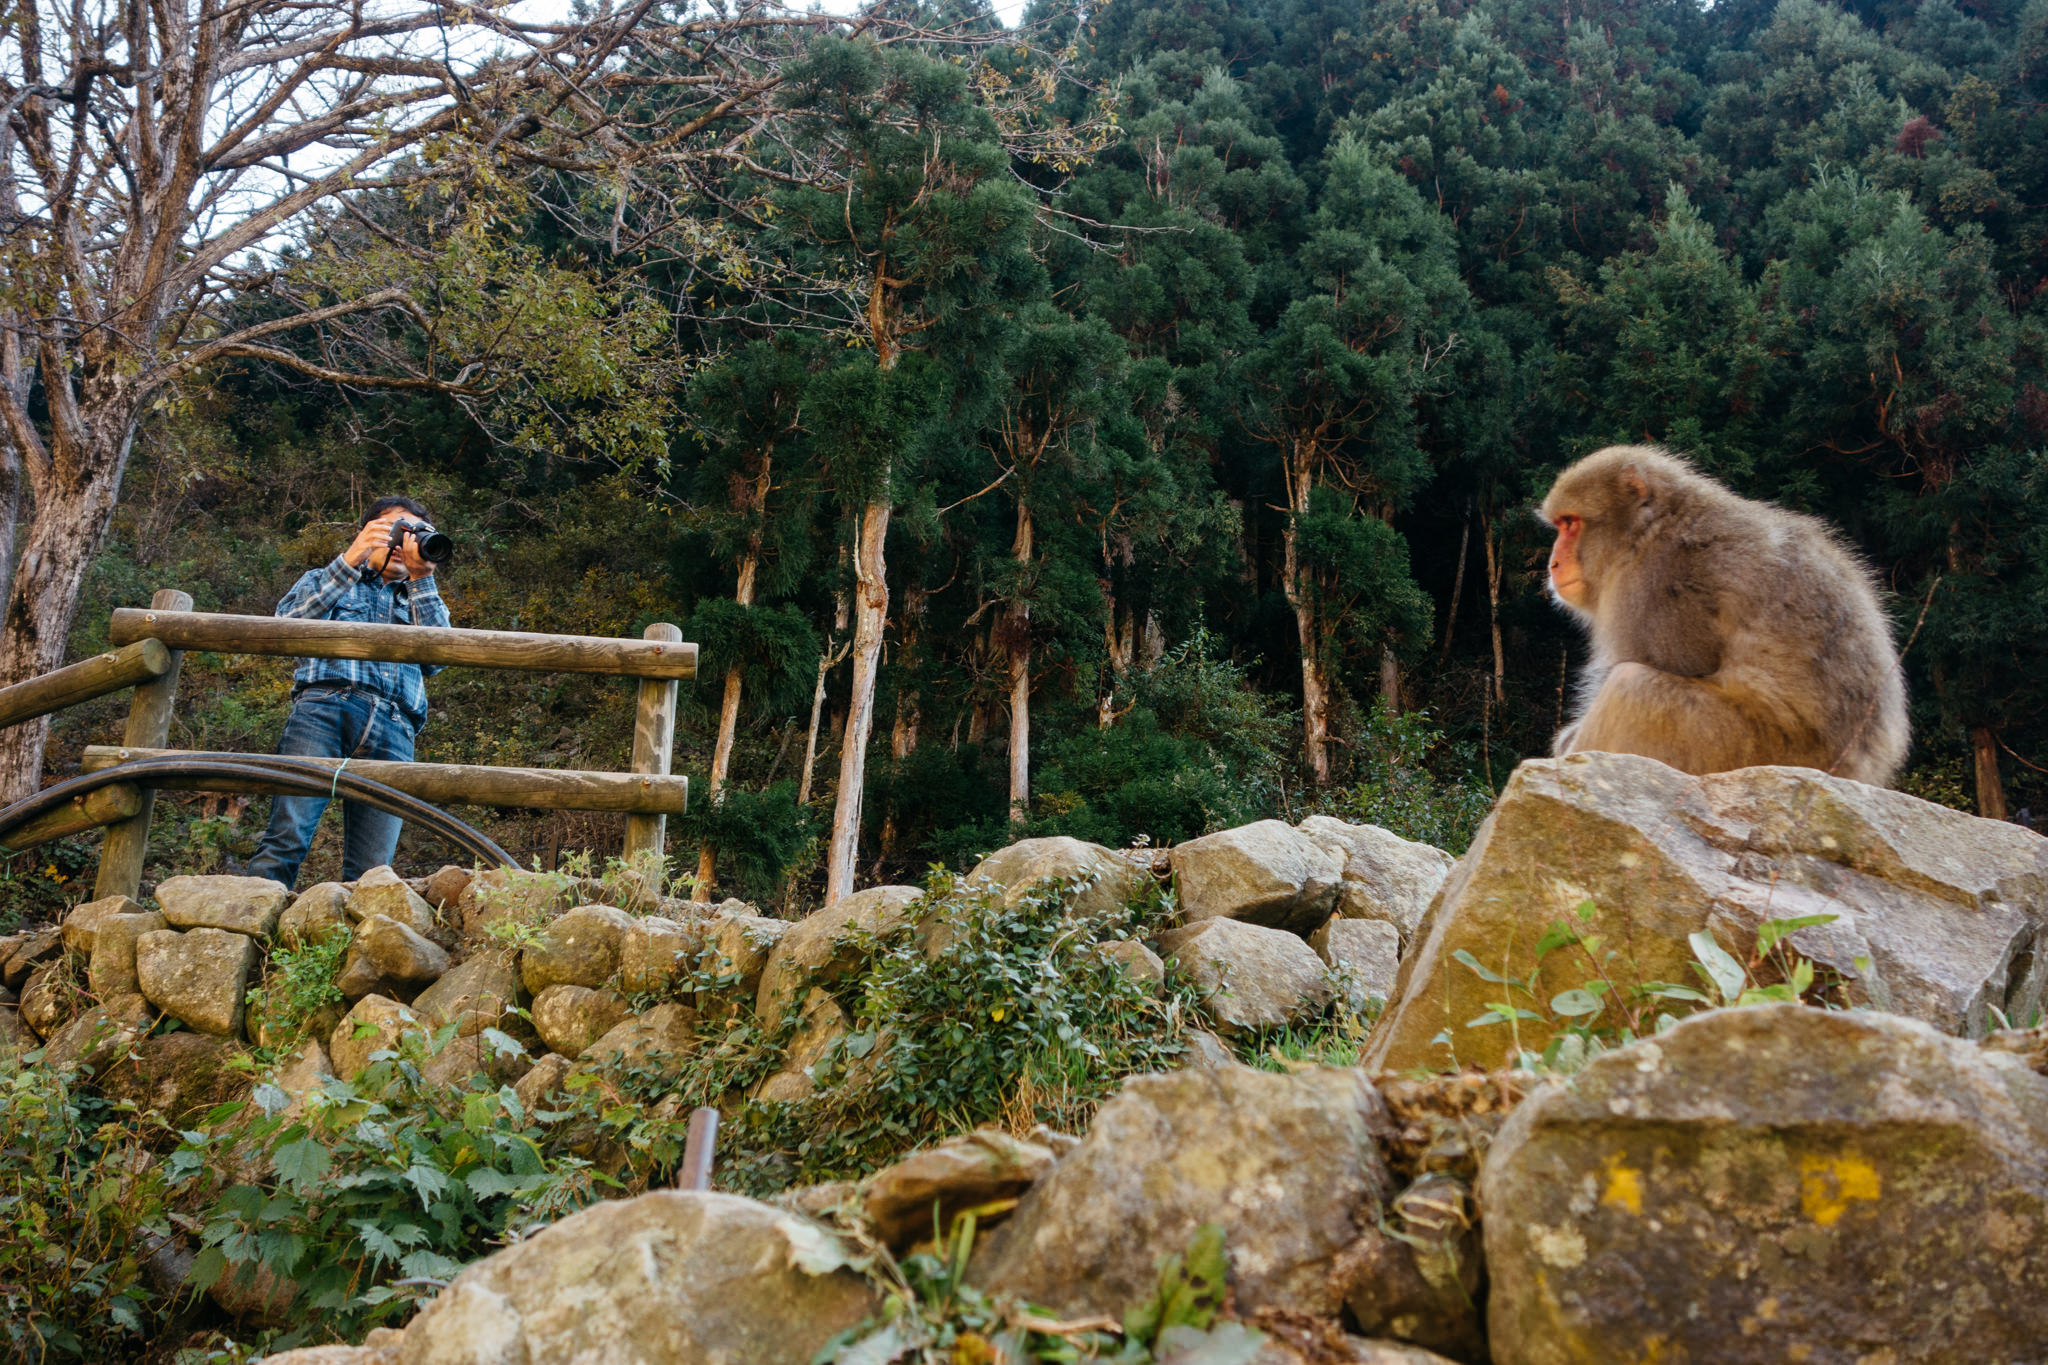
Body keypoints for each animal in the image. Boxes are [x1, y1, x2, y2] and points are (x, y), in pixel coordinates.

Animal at [1539, 445, 1908, 786]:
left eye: (1571, 523)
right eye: (1560, 525)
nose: (1553, 563)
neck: (1648, 531)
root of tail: (1854, 772)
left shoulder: (1655, 584)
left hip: (1744, 750)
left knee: (1630, 684)